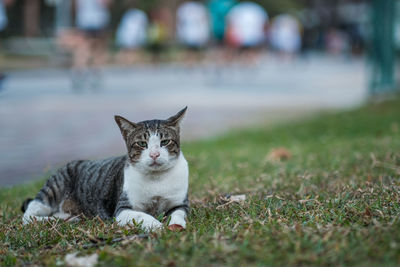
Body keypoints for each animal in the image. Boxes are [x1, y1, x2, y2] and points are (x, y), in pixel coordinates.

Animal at [21, 107, 190, 232]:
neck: (156, 179)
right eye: (142, 144)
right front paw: (157, 226)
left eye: (165, 142)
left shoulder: (181, 204)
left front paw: (176, 225)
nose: (154, 154)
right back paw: (49, 219)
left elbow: (178, 214)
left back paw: (69, 218)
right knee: (29, 214)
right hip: (52, 191)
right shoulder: (122, 209)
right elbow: (142, 216)